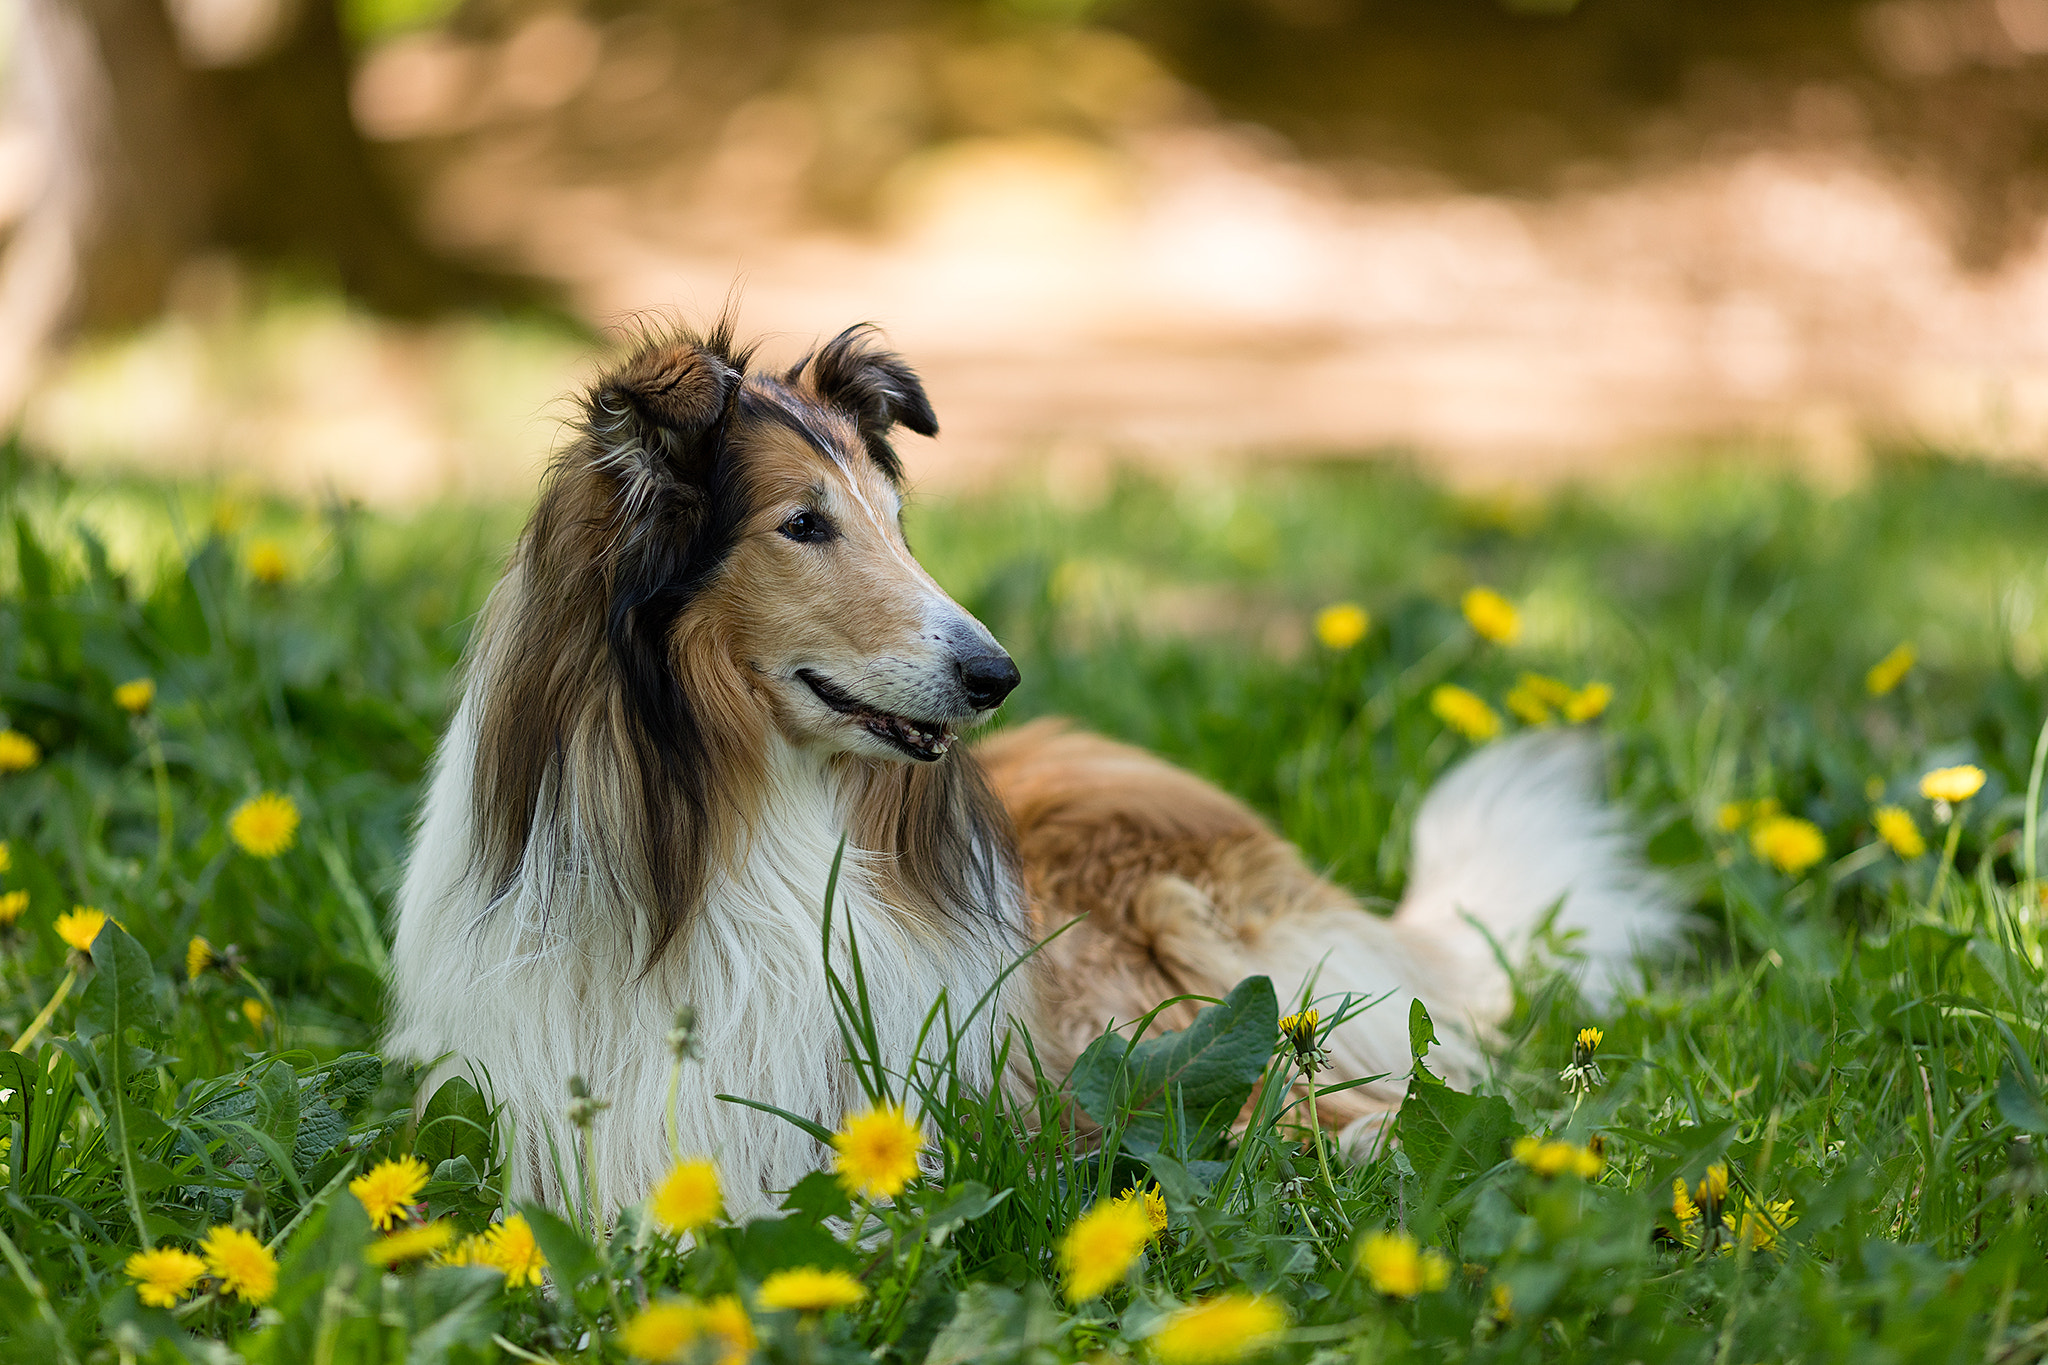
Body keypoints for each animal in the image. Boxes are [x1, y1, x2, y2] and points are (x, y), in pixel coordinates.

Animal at [387, 317, 1679, 1219]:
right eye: (802, 525)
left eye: (892, 523)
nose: (994, 674)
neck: (736, 829)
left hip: (1159, 983)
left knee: (1370, 1091)